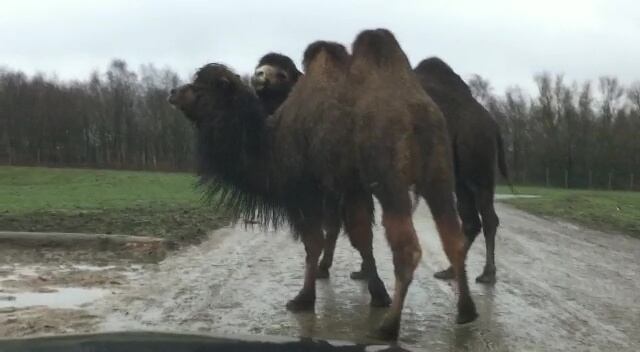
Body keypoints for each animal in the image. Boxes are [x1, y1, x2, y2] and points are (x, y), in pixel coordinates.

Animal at [168, 28, 478, 340]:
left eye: (204, 87)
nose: (173, 92)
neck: (271, 143)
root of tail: (418, 114)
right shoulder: (351, 188)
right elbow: (360, 237)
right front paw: (377, 293)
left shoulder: (308, 191)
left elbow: (313, 243)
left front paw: (303, 299)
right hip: (439, 176)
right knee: (453, 239)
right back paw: (466, 311)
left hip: (390, 181)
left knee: (409, 250)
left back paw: (388, 327)